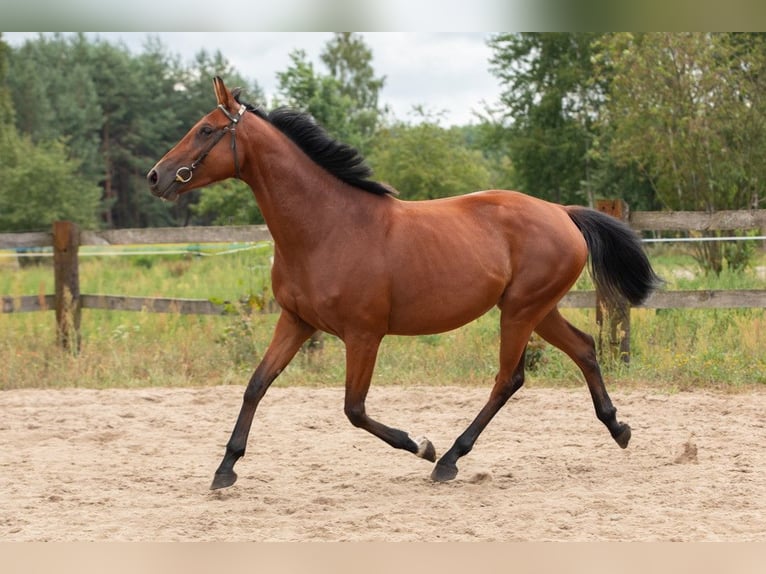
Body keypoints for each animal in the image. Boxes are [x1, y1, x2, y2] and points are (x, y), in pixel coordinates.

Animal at [147, 77, 661, 489]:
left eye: (206, 130)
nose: (156, 176)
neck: (326, 227)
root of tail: (563, 212)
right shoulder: (295, 322)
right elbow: (256, 385)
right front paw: (225, 469)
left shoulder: (363, 335)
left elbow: (353, 409)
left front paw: (421, 446)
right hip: (537, 309)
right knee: (584, 348)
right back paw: (619, 429)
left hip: (520, 311)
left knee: (508, 379)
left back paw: (449, 459)